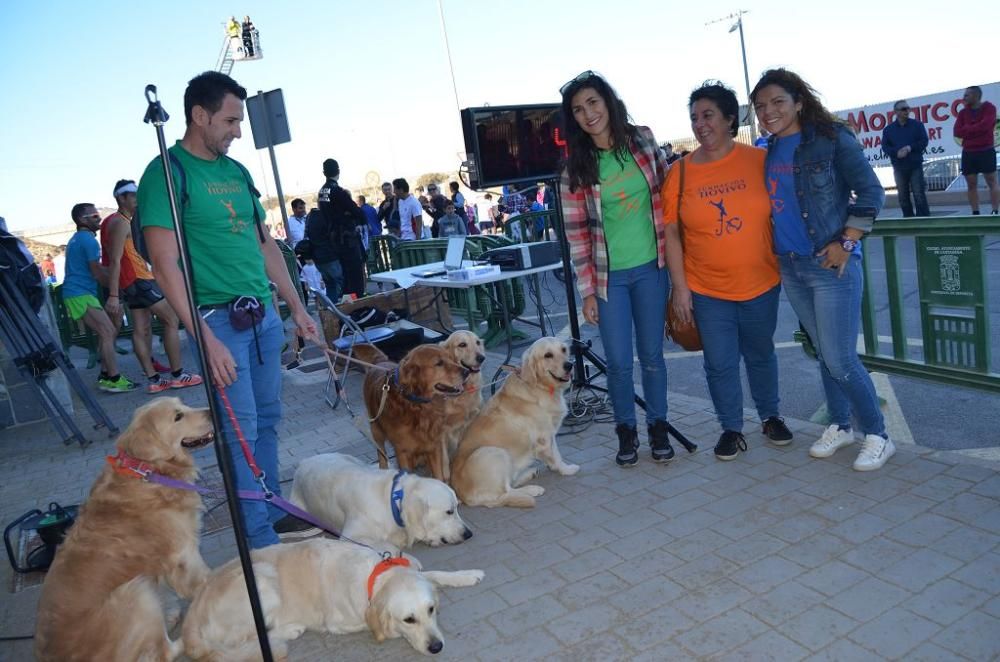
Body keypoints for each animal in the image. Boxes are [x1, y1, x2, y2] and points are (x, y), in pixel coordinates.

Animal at [36, 396, 214, 660]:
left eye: (183, 404)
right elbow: (204, 578)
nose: (212, 411)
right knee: (164, 651)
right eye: (178, 416)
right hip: (134, 591)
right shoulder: (183, 553)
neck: (148, 470)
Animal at [185, 544, 488, 660]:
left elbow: (433, 574)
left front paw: (467, 575)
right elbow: (375, 626)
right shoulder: (340, 622)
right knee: (249, 639)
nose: (437, 647)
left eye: (431, 610)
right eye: (408, 620)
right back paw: (291, 629)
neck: (374, 577)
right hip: (260, 579)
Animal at [292, 454, 474, 552]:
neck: (391, 502)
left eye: (457, 508)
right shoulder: (349, 537)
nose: (469, 534)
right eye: (449, 511)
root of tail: (303, 461)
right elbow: (388, 546)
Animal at [450, 340, 576, 510]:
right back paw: (533, 489)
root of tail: (464, 498)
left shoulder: (549, 434)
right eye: (548, 355)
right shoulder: (543, 438)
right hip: (494, 452)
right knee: (505, 492)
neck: (537, 386)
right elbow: (556, 457)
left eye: (563, 350)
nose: (569, 365)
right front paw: (566, 469)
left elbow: (555, 452)